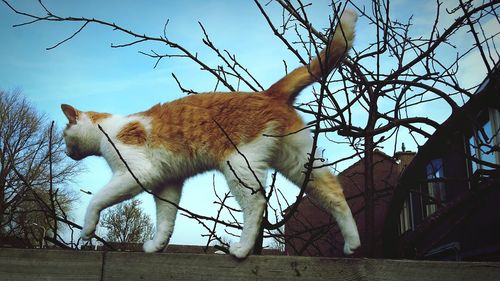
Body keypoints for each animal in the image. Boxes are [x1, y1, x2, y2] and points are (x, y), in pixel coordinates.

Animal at [61, 9, 360, 258]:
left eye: (64, 137)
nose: (66, 152)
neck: (107, 129)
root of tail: (268, 94)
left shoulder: (135, 173)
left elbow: (97, 200)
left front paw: (87, 230)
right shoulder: (167, 184)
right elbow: (166, 220)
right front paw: (157, 245)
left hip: (239, 166)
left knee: (257, 203)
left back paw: (241, 249)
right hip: (298, 161)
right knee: (333, 191)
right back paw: (353, 243)